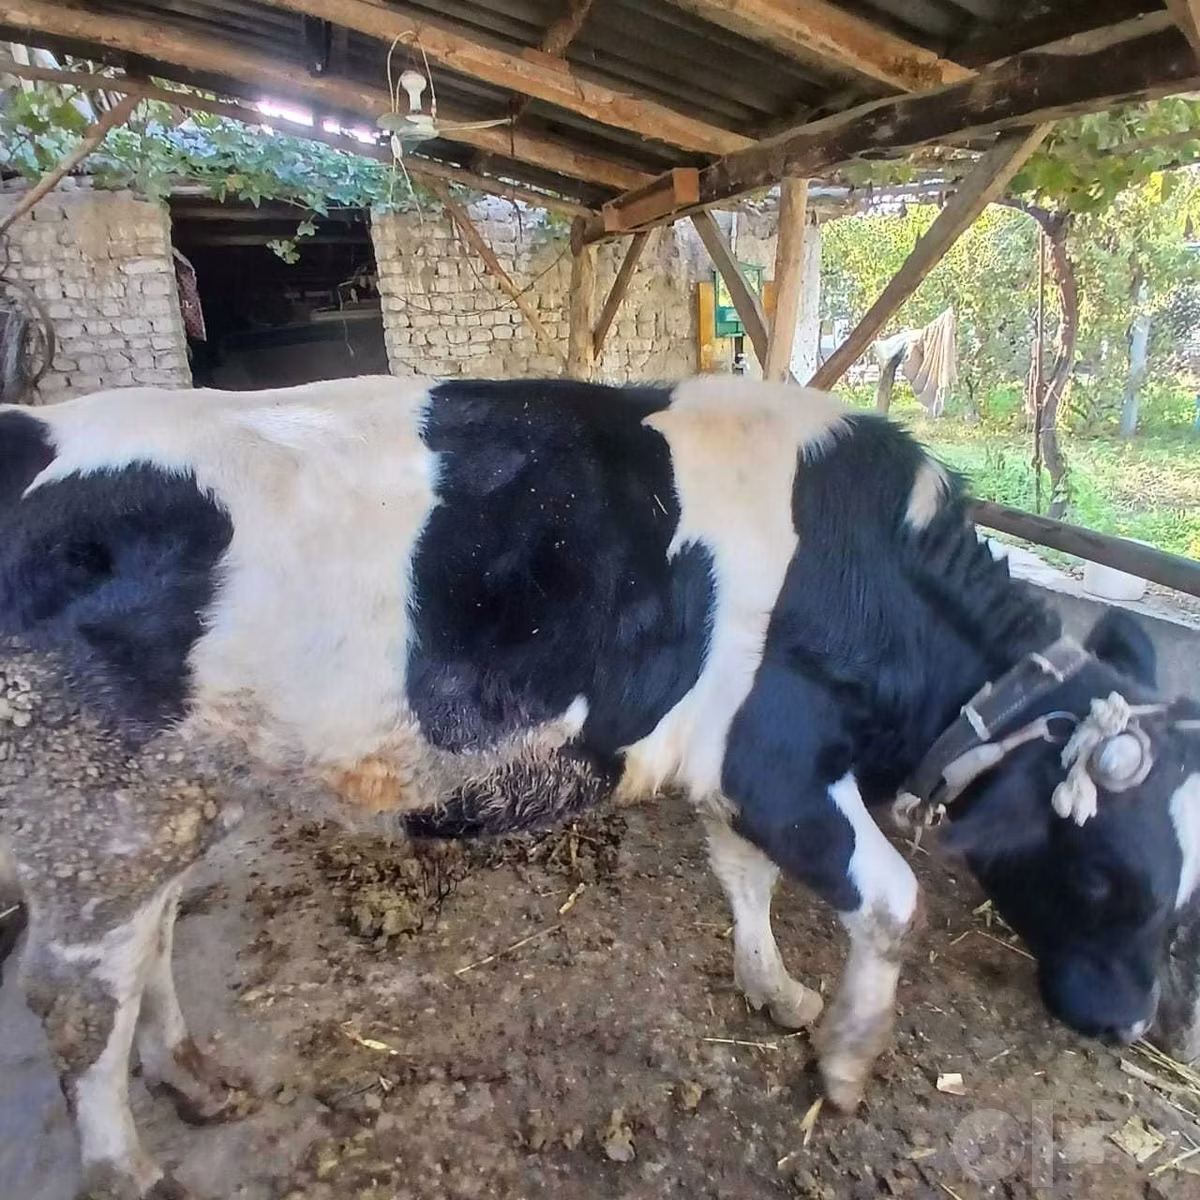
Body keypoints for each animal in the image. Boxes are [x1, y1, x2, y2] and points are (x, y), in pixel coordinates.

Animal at [1, 374, 1198, 1200]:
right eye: (1109, 880)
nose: (1129, 1027)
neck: (858, 573)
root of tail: (32, 426)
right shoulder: (776, 758)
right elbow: (892, 903)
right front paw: (846, 1061)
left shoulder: (738, 770)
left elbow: (745, 878)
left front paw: (776, 991)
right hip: (86, 801)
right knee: (74, 999)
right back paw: (126, 1168)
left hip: (166, 795)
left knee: (148, 942)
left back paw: (190, 1073)